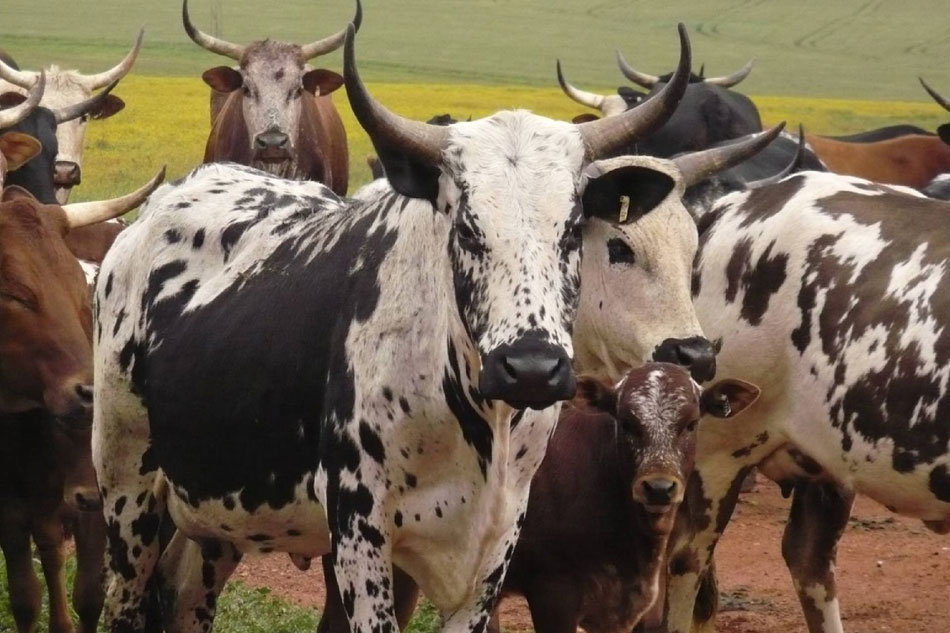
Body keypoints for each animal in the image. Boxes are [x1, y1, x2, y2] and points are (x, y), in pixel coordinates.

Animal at [0, 170, 166, 633]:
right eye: (16, 293)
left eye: (79, 288)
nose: (89, 394)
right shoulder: (12, 511)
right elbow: (25, 596)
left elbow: (89, 595)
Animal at [91, 21, 696, 633]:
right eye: (467, 227)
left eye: (573, 229)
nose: (531, 368)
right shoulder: (360, 532)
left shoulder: (494, 549)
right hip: (127, 488)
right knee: (123, 598)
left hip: (215, 513)